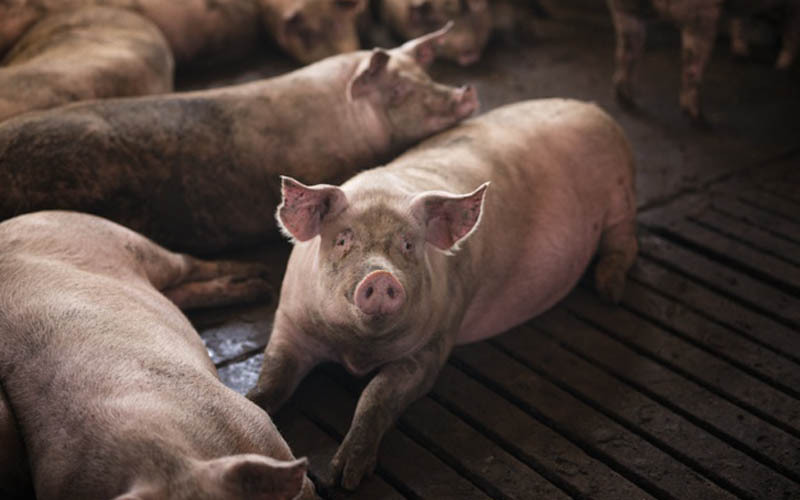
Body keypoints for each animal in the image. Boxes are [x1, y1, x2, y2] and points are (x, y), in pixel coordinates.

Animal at [0, 210, 318, 500]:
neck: (168, 463)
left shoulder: (257, 425)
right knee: (181, 293)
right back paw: (258, 287)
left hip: (130, 242)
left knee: (188, 263)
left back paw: (261, 279)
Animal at [247, 97, 640, 488]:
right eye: (343, 240)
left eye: (408, 244)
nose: (380, 276)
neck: (356, 351)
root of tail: (592, 108)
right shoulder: (289, 322)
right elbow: (274, 374)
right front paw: (251, 404)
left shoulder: (433, 345)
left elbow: (376, 396)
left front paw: (346, 477)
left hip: (621, 196)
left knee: (625, 242)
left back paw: (609, 293)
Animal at [608, 0, 796, 122]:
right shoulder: (625, 11)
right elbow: (626, 54)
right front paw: (624, 97)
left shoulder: (701, 12)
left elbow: (692, 64)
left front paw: (693, 112)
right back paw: (743, 55)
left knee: (789, 26)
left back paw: (783, 65)